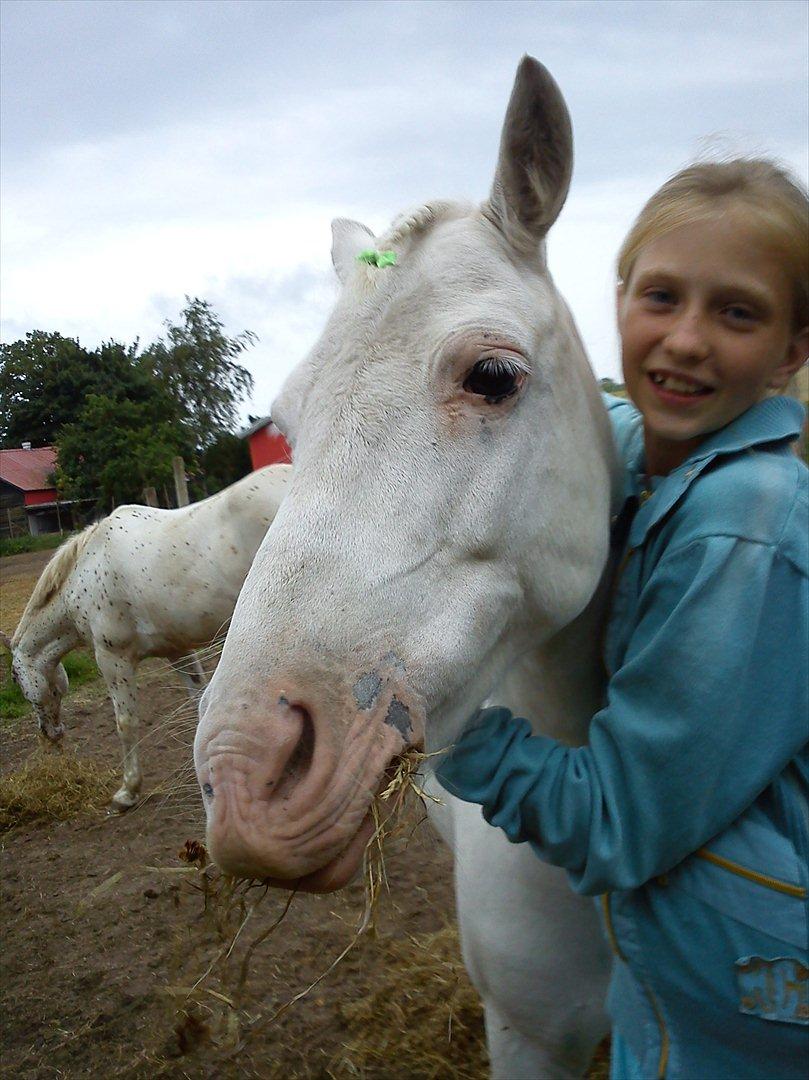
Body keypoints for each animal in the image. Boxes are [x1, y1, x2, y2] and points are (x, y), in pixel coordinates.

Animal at [2, 464, 291, 810]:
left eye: (15, 679)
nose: (50, 734)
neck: (84, 573)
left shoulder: (113, 659)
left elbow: (125, 722)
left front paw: (128, 791)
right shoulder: (178, 651)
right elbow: (199, 702)